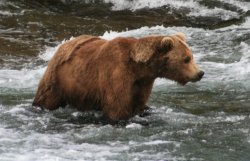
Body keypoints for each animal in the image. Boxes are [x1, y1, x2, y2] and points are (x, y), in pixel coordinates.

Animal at [32, 32, 203, 121]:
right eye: (186, 59)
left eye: (191, 56)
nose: (200, 73)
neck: (138, 68)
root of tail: (64, 44)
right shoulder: (116, 74)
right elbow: (117, 107)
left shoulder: (143, 83)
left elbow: (140, 104)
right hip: (58, 79)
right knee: (46, 98)